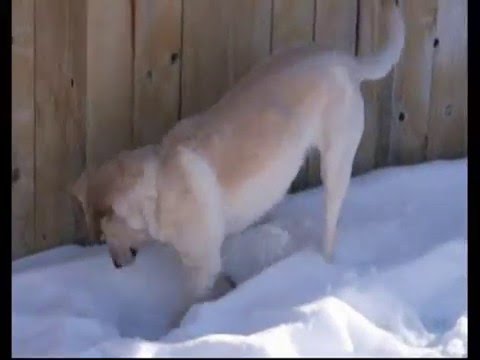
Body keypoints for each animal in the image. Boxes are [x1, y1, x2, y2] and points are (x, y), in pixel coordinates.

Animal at [70, 0, 402, 306]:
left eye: (105, 237)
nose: (115, 264)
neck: (158, 186)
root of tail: (344, 59)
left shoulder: (202, 265)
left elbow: (190, 305)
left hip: (335, 164)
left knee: (331, 225)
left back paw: (323, 265)